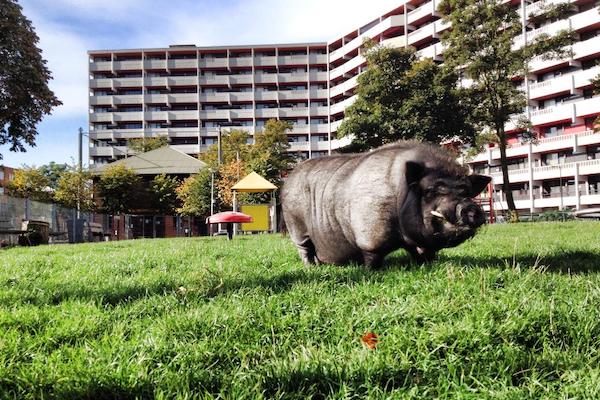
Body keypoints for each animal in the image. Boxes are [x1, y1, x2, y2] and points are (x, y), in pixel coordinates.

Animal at [278, 141, 490, 268]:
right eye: (430, 191)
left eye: (466, 191)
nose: (469, 208)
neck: (400, 193)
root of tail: (287, 181)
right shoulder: (370, 234)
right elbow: (373, 255)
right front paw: (372, 270)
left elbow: (424, 252)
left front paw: (426, 264)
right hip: (295, 224)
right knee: (304, 249)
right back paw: (311, 267)